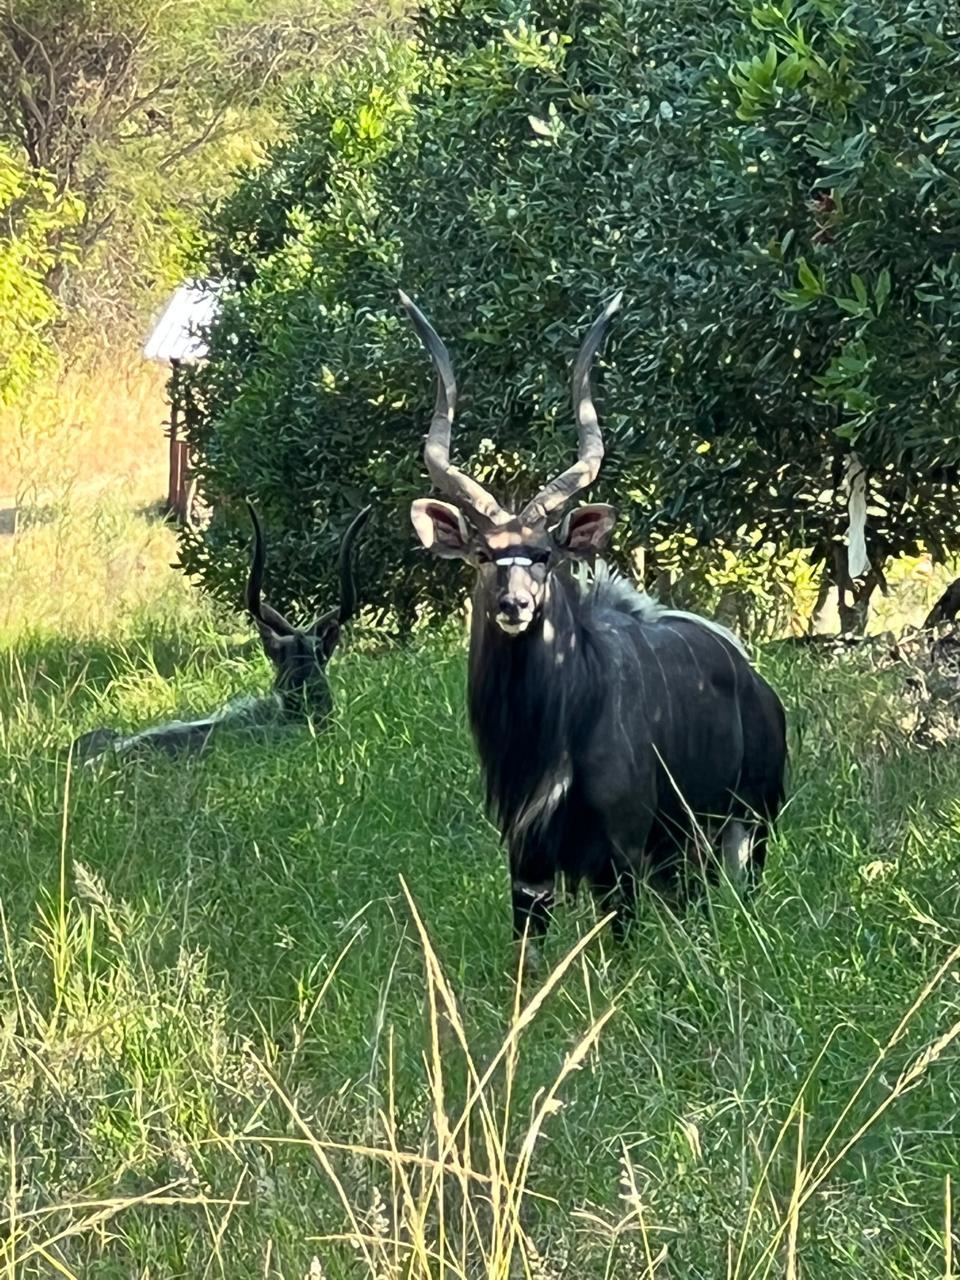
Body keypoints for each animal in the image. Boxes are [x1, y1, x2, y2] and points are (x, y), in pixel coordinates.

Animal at [400, 288, 787, 949]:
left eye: (545, 554)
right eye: (484, 555)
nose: (514, 606)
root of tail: (756, 682)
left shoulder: (619, 857)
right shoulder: (528, 868)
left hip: (747, 826)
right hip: (686, 852)